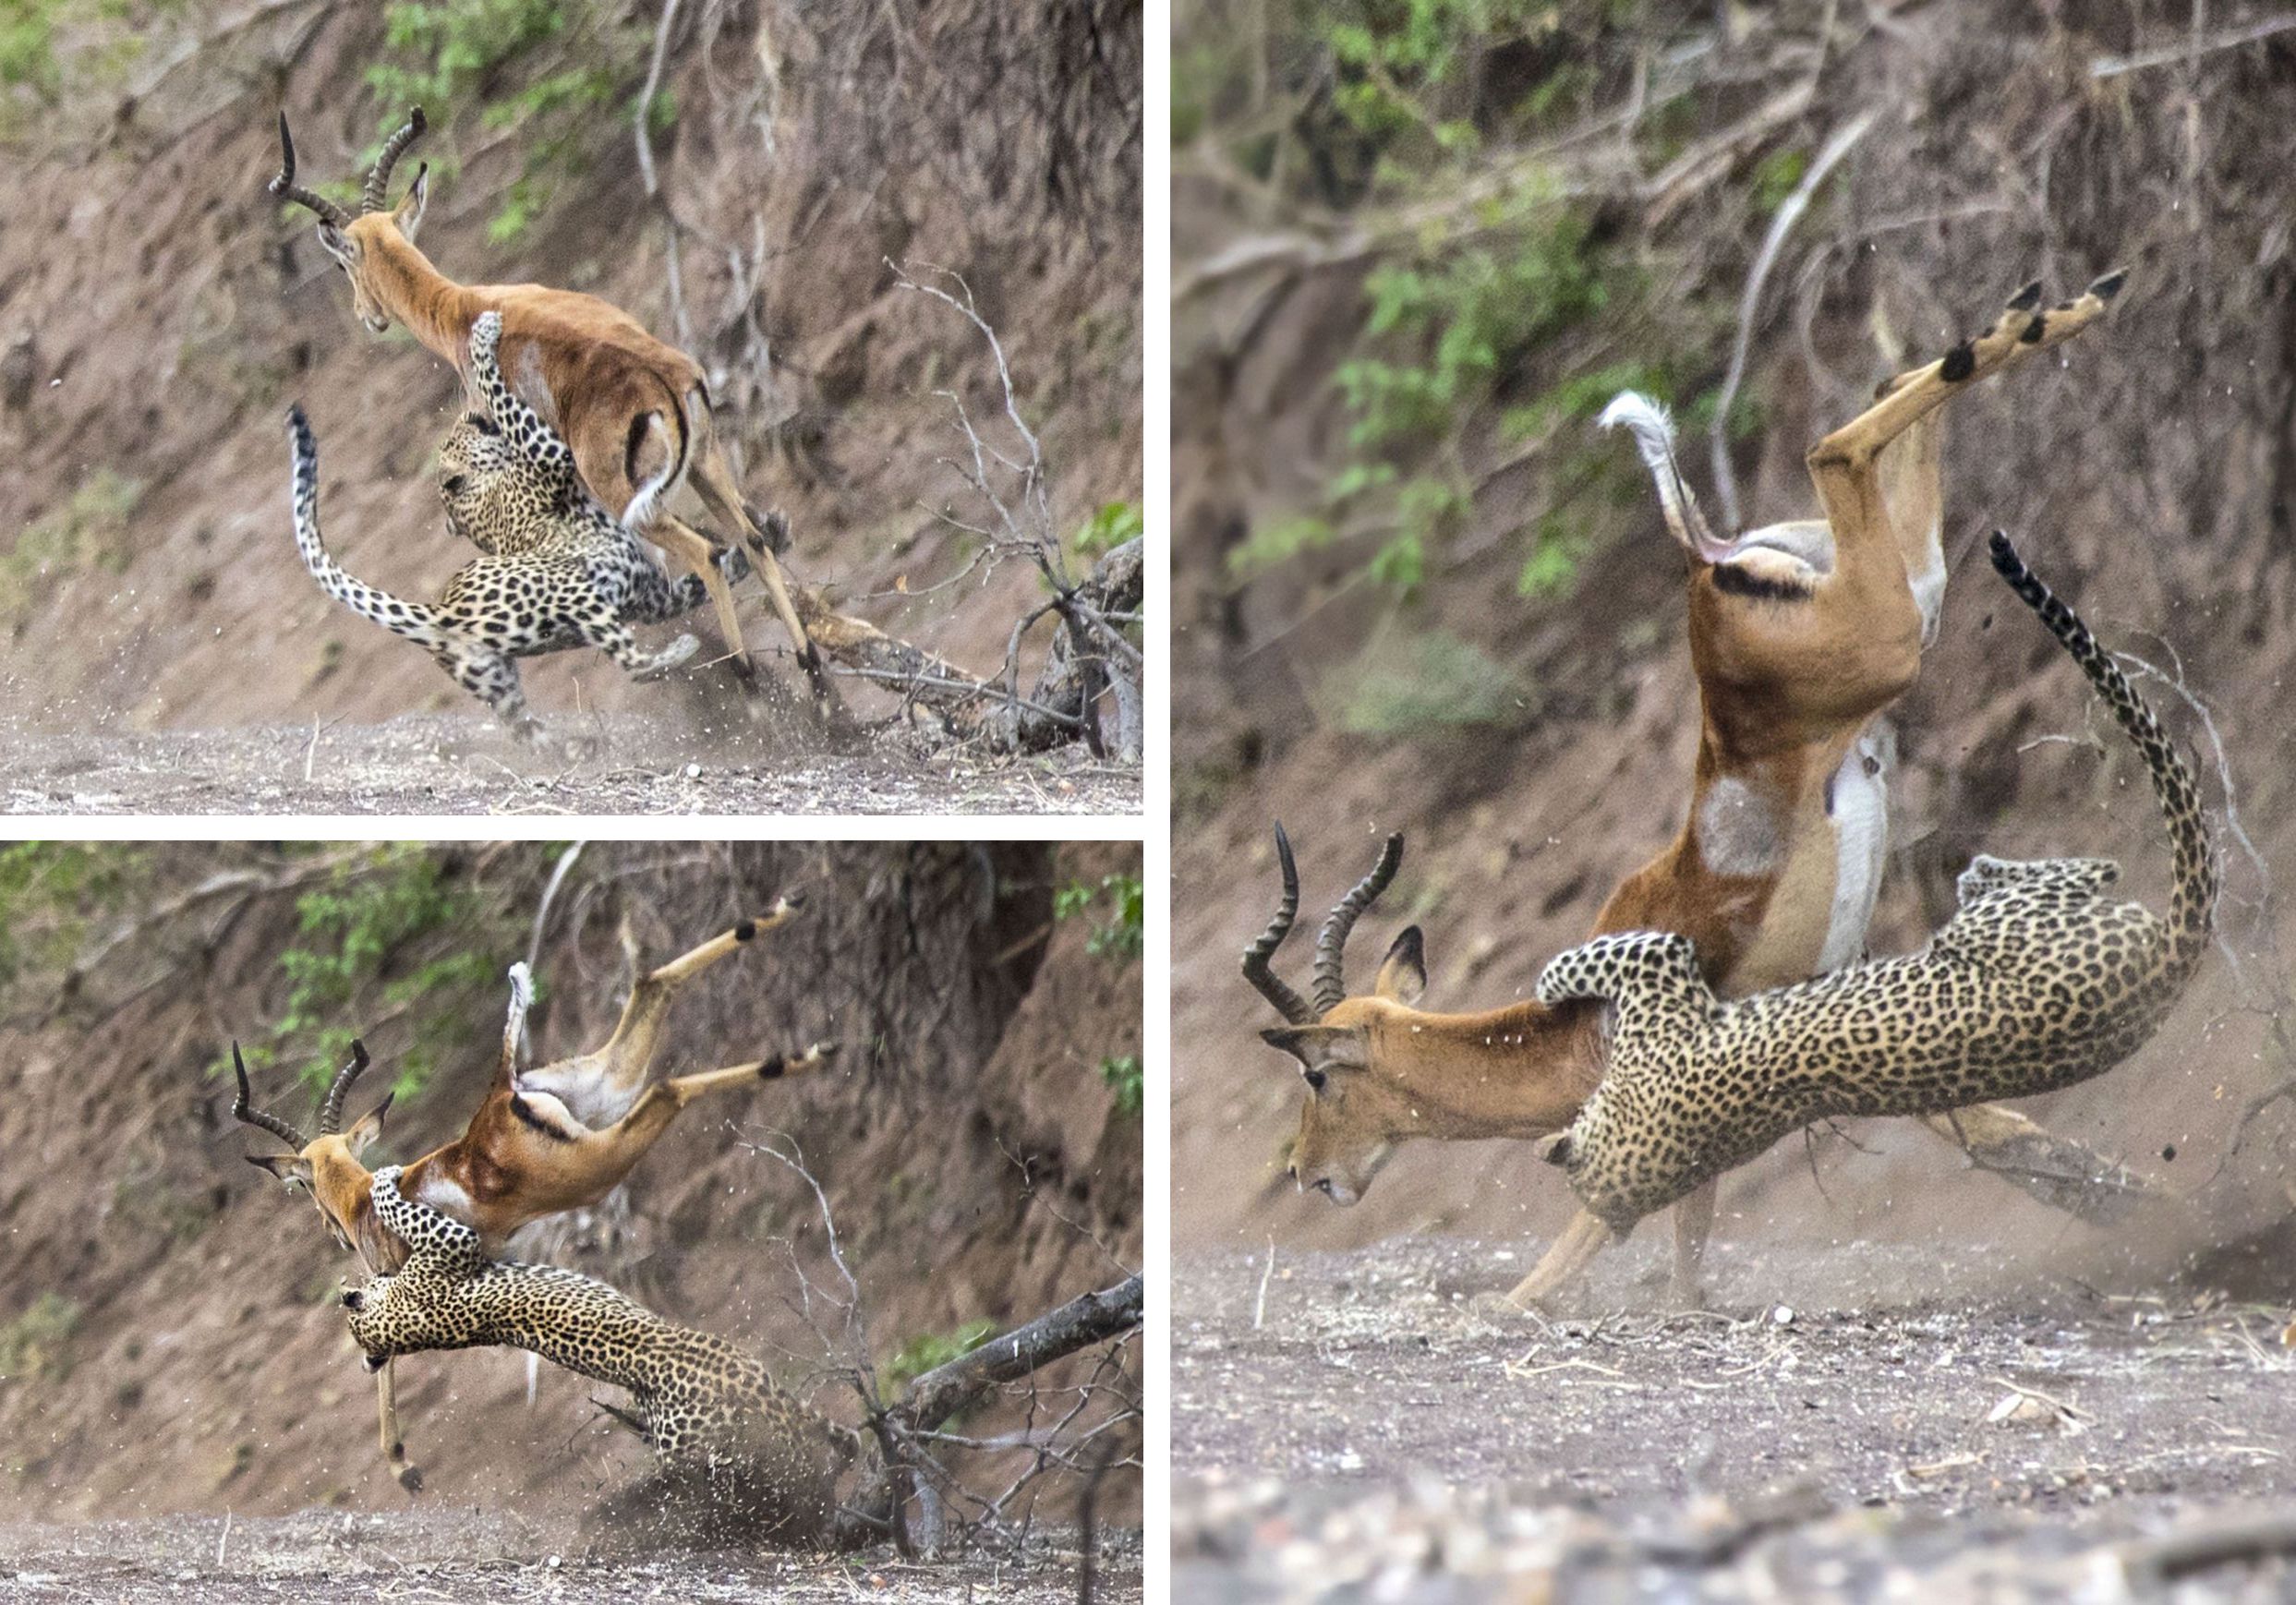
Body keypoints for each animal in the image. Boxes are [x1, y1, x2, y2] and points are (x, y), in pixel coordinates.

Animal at [277, 308, 743, 739]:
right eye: (453, 438)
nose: (466, 414)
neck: (480, 502)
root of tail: (442, 615)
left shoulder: (650, 596)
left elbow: (695, 582)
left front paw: (743, 553)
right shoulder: (548, 456)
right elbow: (501, 395)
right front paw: (484, 336)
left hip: (493, 678)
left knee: (524, 728)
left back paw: (573, 747)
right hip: (570, 591)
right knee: (634, 666)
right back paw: (679, 652)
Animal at [334, 1166, 849, 1542]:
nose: (353, 1281)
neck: (402, 1328)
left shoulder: (448, 1247)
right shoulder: (450, 1243)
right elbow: (399, 1207)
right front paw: (385, 1177)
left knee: (830, 1438)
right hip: (711, 1436)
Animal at [1533, 527, 2213, 1239]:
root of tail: (2166, 962)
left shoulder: (1661, 975)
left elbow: (1603, 953)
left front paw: (1550, 981)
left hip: (2007, 926)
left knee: (2086, 869)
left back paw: (1978, 872)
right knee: (2090, 871)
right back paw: (1979, 874)